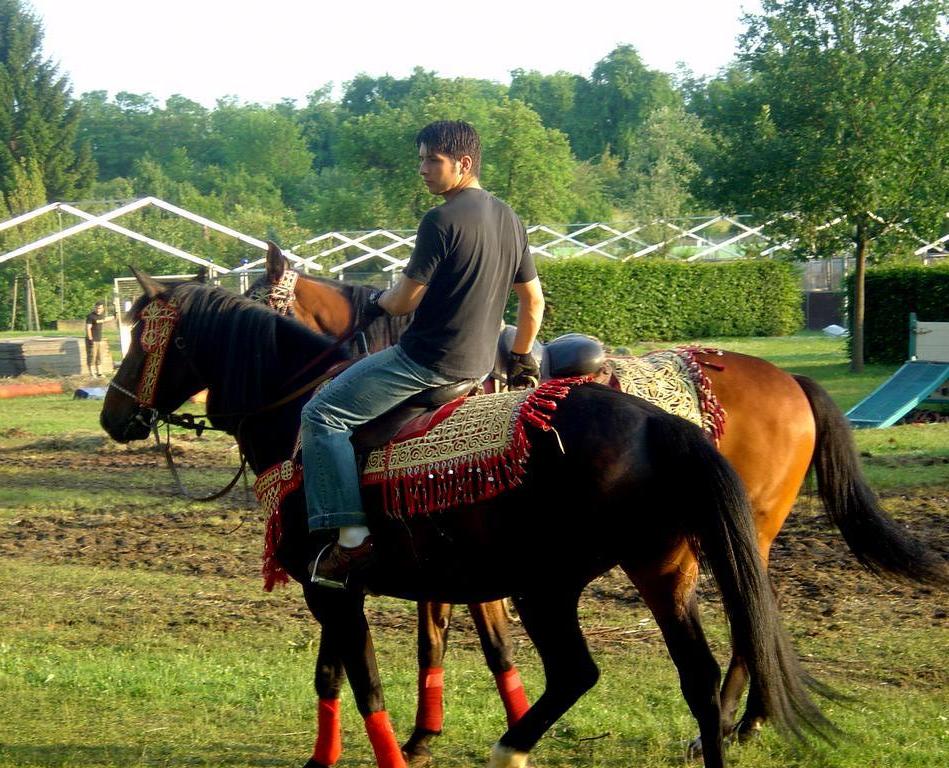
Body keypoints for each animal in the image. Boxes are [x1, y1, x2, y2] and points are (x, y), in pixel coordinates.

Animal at [98, 280, 836, 768]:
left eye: (144, 340)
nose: (113, 415)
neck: (299, 419)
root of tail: (661, 423)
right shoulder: (340, 589)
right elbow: (337, 674)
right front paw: (331, 758)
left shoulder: (339, 589)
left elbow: (369, 681)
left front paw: (406, 751)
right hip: (665, 571)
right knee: (700, 674)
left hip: (553, 584)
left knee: (582, 671)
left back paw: (514, 747)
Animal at [246, 244, 948, 760]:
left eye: (256, 297)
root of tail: (791, 381)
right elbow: (439, 634)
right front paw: (434, 732)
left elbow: (461, 635)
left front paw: (448, 734)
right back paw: (743, 723)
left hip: (736, 530)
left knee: (748, 621)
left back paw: (725, 725)